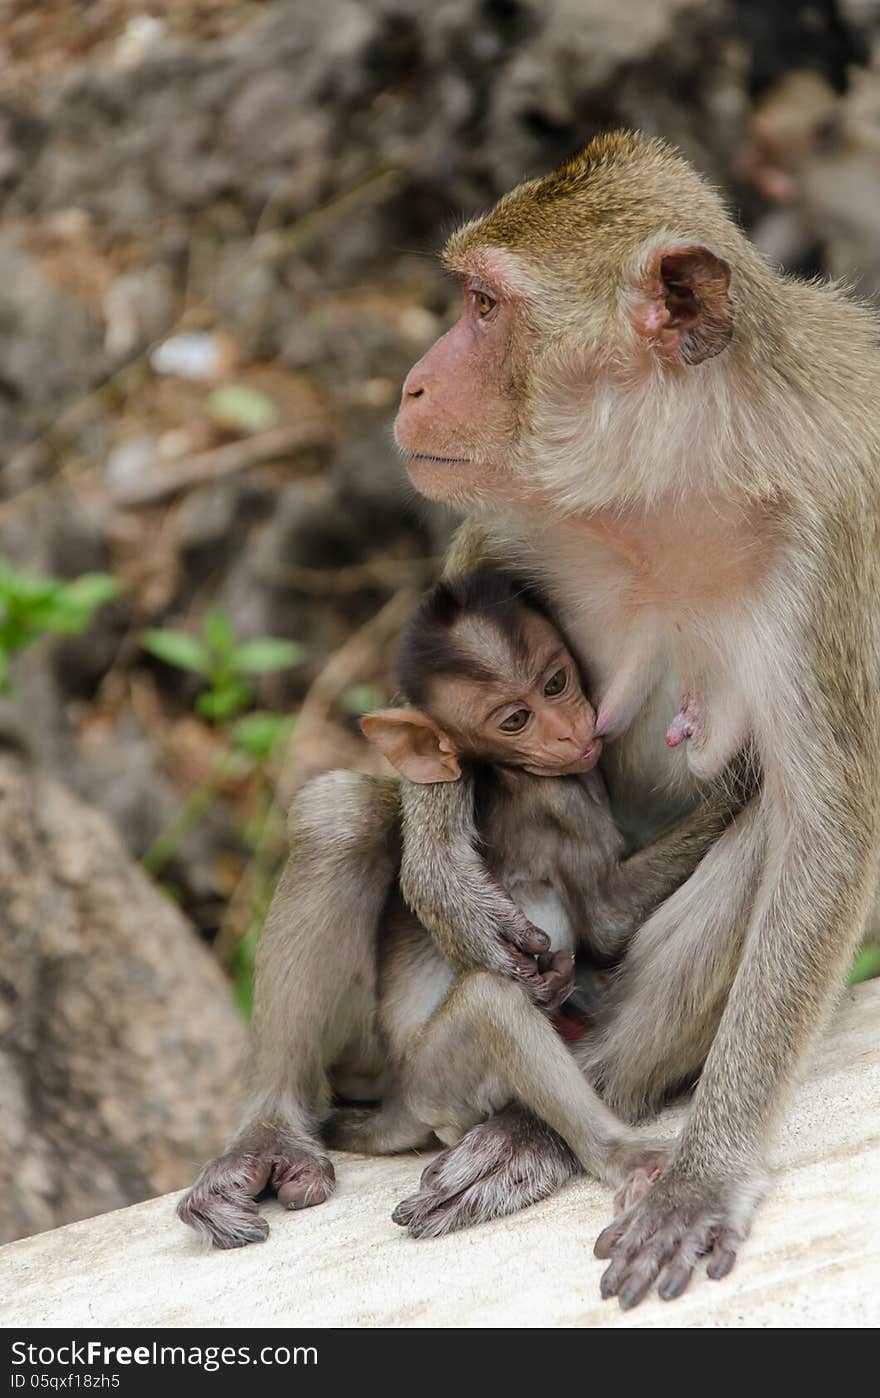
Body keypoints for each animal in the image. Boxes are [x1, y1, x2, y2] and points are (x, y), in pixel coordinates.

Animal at [331, 567, 733, 1213]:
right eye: (514, 721)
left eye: (556, 682)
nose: (570, 732)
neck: (510, 772)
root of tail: (394, 1099)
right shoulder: (559, 800)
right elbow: (607, 917)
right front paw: (744, 774)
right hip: (437, 1082)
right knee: (491, 1005)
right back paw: (620, 1155)